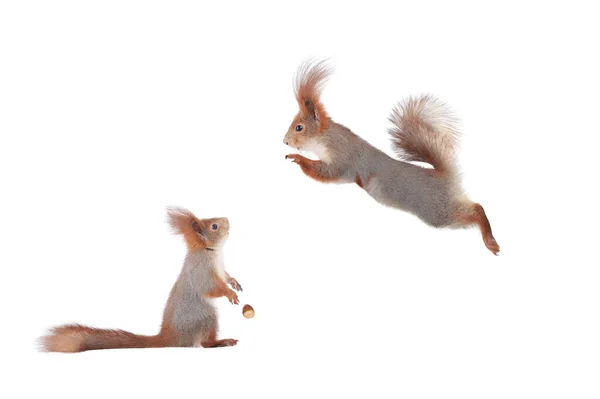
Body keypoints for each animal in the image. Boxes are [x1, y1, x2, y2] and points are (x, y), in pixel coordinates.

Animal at [39, 208, 243, 354]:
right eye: (214, 226)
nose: (227, 219)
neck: (210, 251)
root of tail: (170, 337)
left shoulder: (220, 268)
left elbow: (226, 276)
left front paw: (234, 283)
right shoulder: (202, 272)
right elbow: (212, 288)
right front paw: (230, 293)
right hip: (206, 316)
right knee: (204, 343)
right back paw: (221, 342)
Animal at [284, 60, 500, 255]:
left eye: (299, 127)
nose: (285, 141)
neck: (325, 137)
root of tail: (445, 177)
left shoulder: (344, 157)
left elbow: (326, 172)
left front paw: (298, 158)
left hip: (436, 210)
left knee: (477, 208)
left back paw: (490, 240)